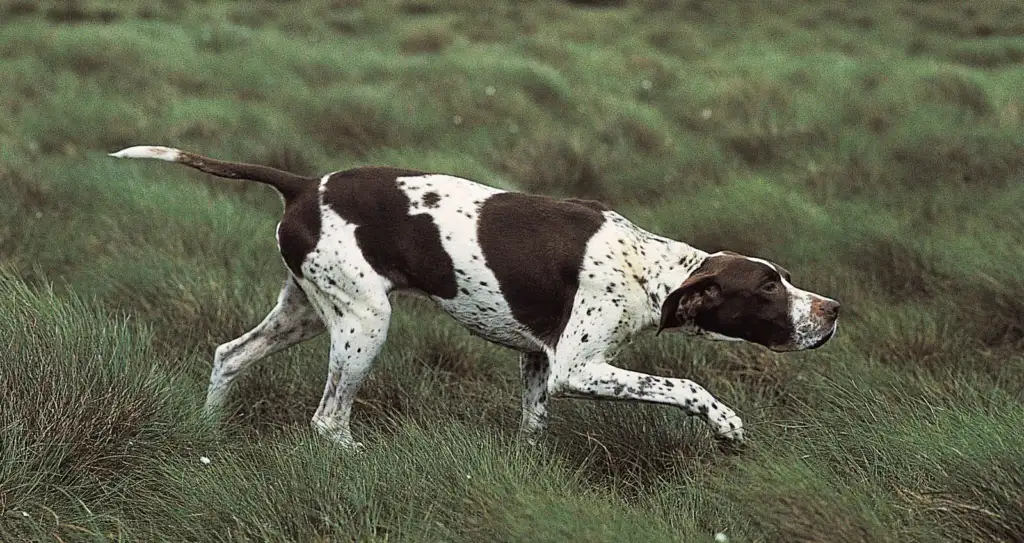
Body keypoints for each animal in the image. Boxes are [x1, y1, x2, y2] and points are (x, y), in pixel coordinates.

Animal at [110, 145, 839, 446]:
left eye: (783, 275)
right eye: (769, 287)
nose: (833, 311)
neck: (649, 266)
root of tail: (302, 183)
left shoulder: (539, 365)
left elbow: (533, 432)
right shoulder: (577, 368)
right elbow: (686, 386)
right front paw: (727, 426)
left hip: (309, 312)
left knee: (229, 355)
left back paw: (206, 431)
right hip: (364, 323)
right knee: (327, 420)